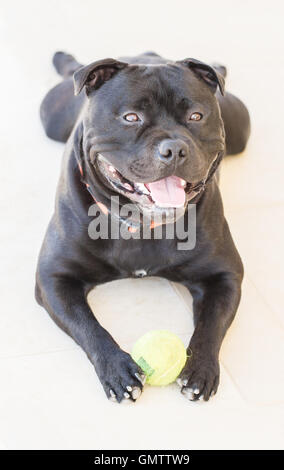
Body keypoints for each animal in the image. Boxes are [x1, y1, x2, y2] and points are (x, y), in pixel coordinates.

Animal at [35, 52, 251, 404]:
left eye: (196, 116)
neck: (142, 223)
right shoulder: (53, 278)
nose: (174, 149)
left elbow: (211, 324)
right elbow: (87, 324)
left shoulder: (224, 276)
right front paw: (116, 368)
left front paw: (200, 369)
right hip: (51, 116)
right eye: (131, 117)